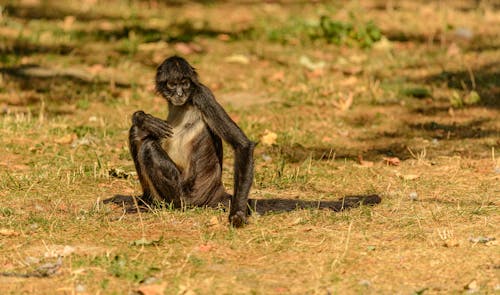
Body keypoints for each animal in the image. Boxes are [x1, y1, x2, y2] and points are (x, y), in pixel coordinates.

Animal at [127, 56, 380, 229]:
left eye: (185, 83)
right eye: (172, 85)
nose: (179, 93)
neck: (183, 103)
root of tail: (215, 192)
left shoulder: (202, 95)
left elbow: (243, 145)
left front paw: (237, 214)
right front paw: (142, 117)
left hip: (186, 195)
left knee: (148, 146)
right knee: (139, 133)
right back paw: (146, 201)